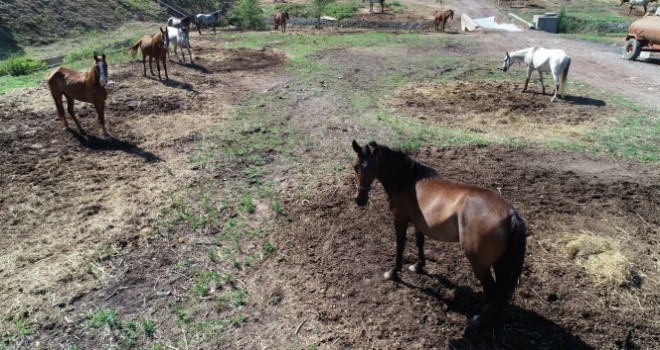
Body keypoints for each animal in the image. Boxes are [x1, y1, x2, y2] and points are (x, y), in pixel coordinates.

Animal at [350, 140, 524, 328]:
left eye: (374, 168)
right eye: (355, 166)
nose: (360, 200)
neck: (408, 180)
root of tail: (511, 214)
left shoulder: (400, 219)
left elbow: (400, 245)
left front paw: (394, 272)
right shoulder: (418, 223)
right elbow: (419, 242)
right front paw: (418, 266)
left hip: (480, 264)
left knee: (491, 290)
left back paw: (478, 319)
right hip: (499, 262)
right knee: (499, 292)